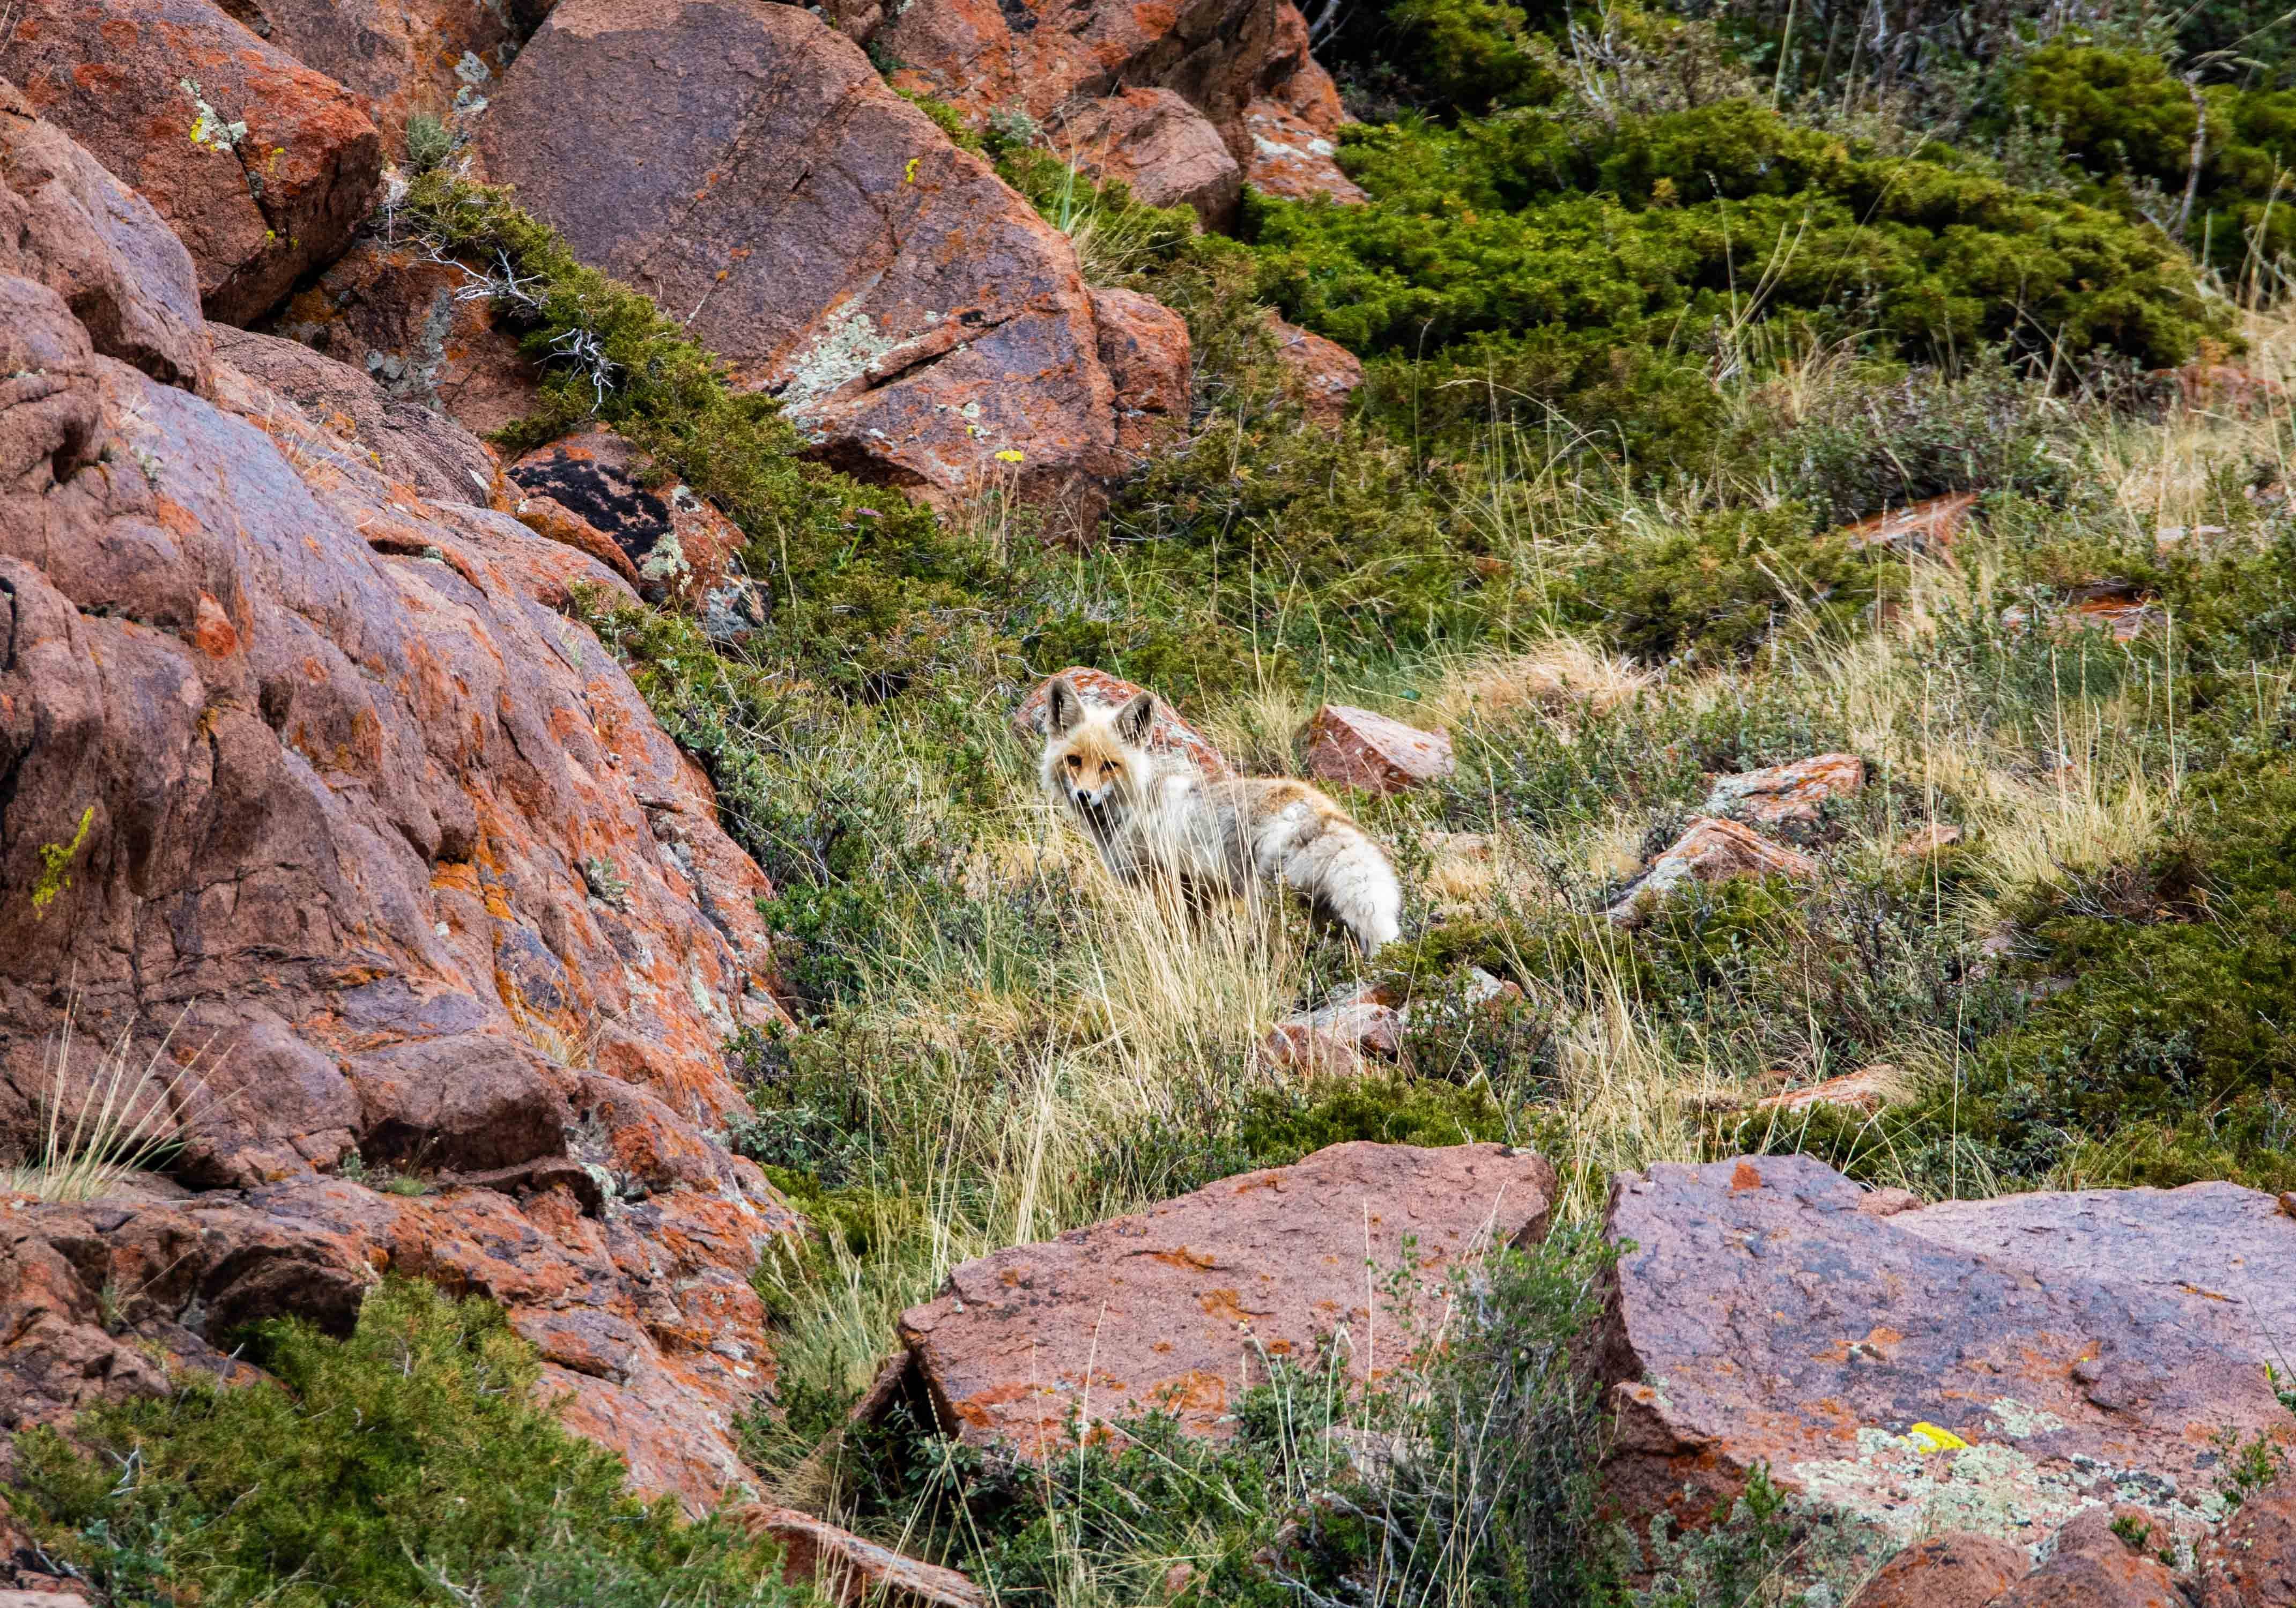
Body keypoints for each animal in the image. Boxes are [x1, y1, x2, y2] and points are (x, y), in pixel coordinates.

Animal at [1038, 680, 1396, 955]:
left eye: (1109, 766)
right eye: (1074, 760)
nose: (1083, 796)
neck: (1133, 806)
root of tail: (1320, 809)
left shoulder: (1169, 884)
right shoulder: (1197, 894)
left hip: (1266, 908)